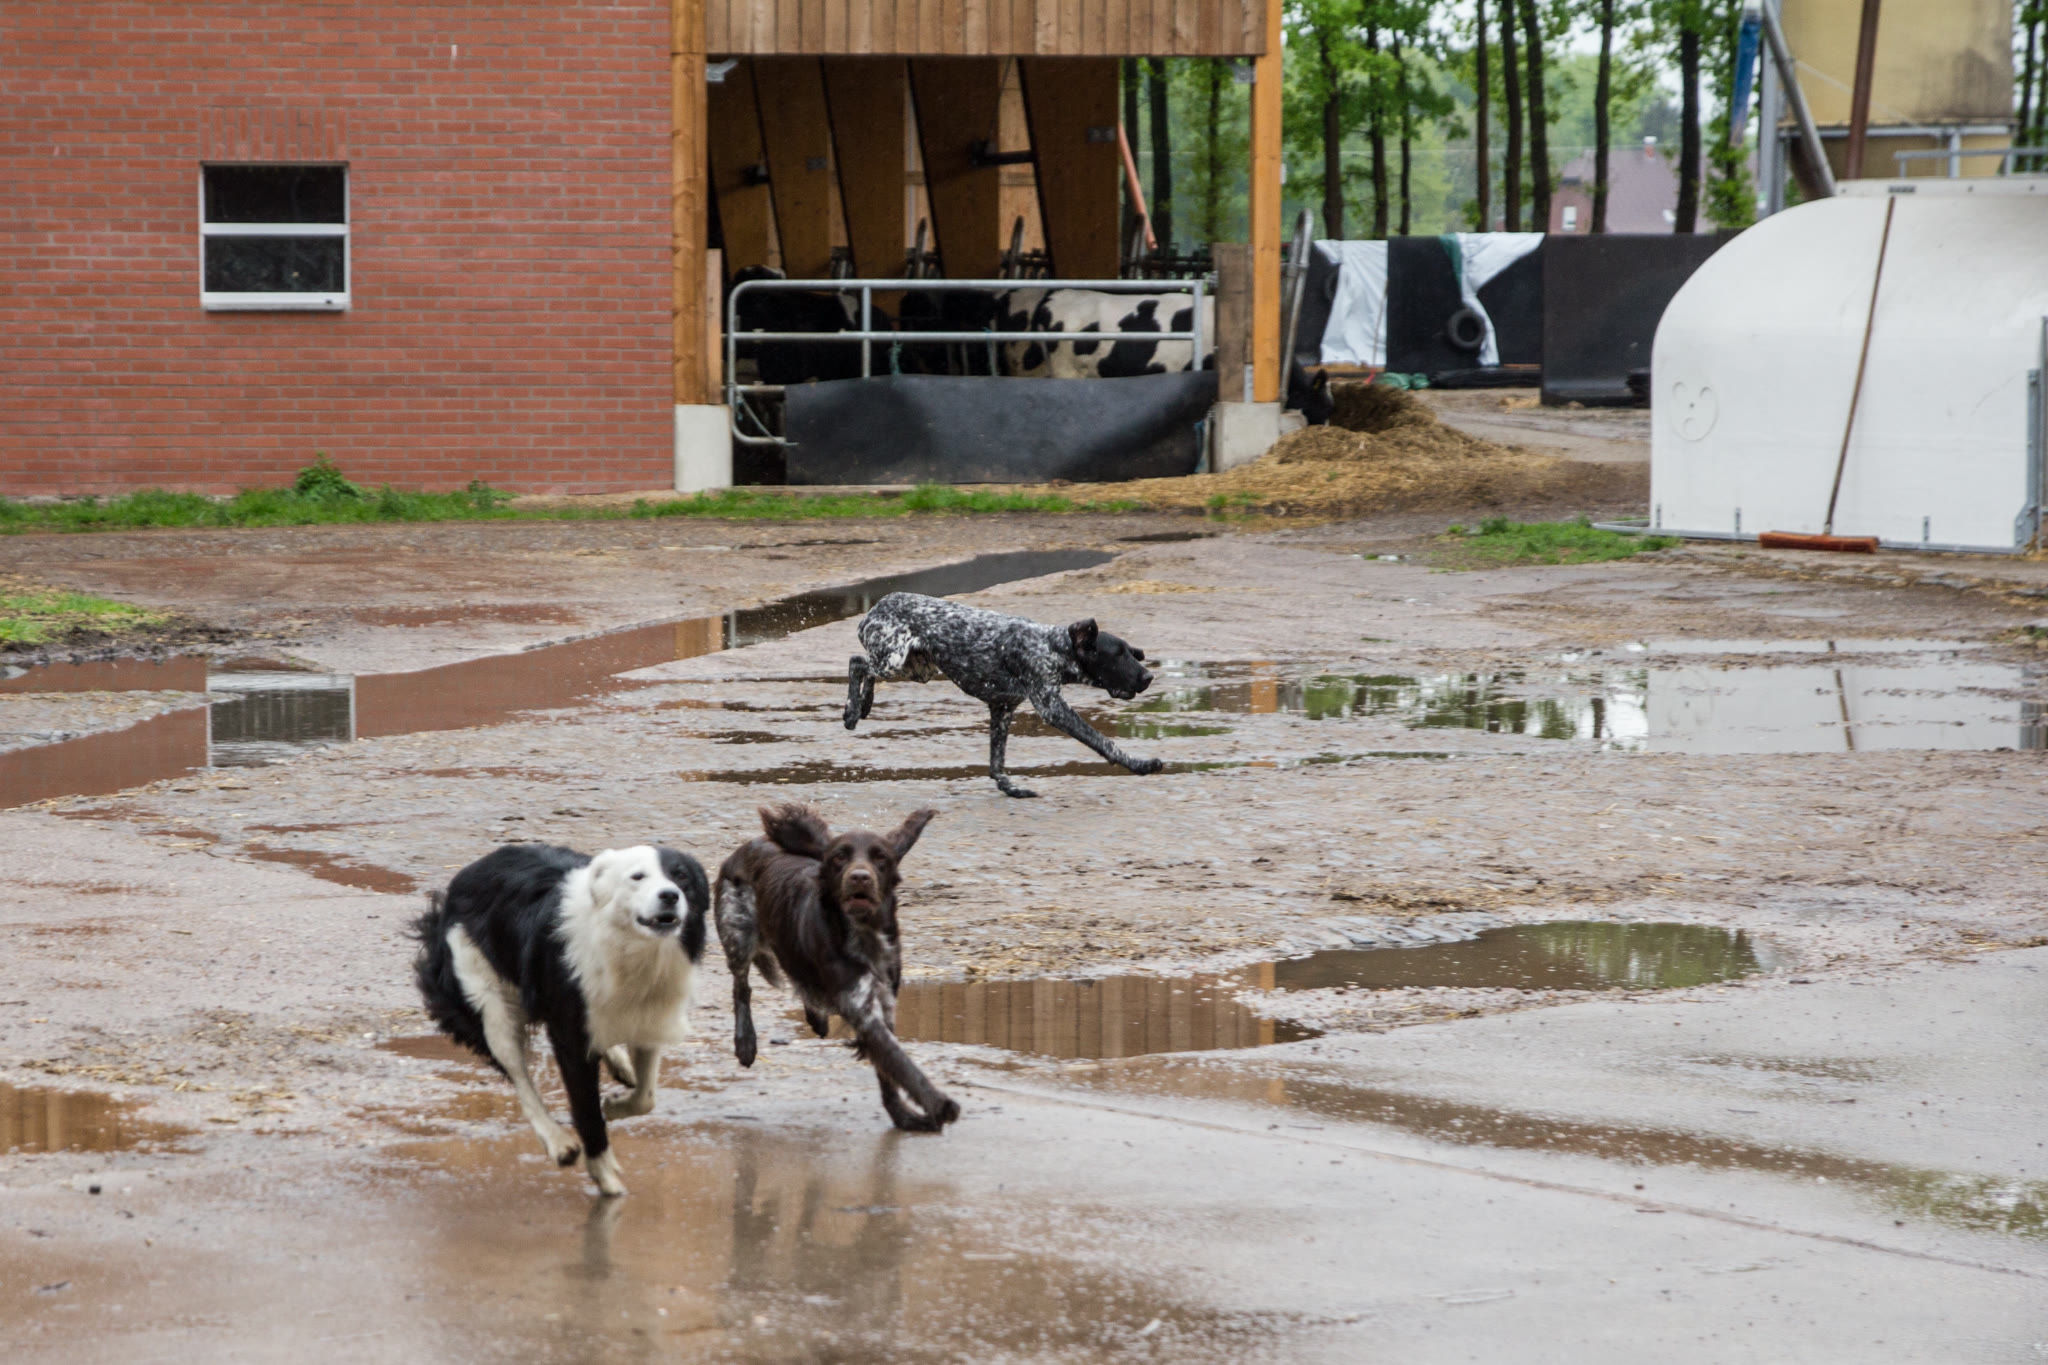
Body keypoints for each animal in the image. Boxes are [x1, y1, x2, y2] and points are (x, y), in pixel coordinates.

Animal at [411, 842, 709, 1196]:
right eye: (638, 876)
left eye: (681, 876)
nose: (670, 895)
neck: (628, 946)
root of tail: (470, 872)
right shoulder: (570, 1034)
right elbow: (586, 1109)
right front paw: (605, 1177)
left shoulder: (650, 1016)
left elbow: (645, 1097)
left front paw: (616, 1105)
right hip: (486, 996)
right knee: (518, 1074)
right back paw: (557, 1141)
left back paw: (619, 1064)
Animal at [714, 803, 959, 1133]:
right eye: (839, 856)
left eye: (880, 857)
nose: (859, 877)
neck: (865, 934)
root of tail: (749, 845)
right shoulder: (860, 1006)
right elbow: (900, 1061)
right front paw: (938, 1104)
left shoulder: (884, 1001)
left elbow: (888, 1067)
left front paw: (902, 1114)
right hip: (737, 934)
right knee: (742, 987)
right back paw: (745, 1042)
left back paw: (816, 1017)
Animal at [844, 592, 1161, 798]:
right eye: (1118, 655)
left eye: (1131, 653)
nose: (1148, 677)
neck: (1052, 647)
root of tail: (876, 608)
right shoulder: (1052, 708)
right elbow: (1103, 742)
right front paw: (1139, 764)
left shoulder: (1002, 709)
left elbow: (996, 764)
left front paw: (1010, 788)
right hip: (893, 661)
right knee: (857, 662)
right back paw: (851, 710)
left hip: (917, 670)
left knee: (867, 670)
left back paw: (864, 705)